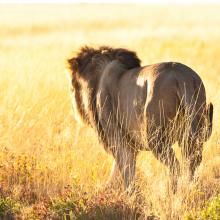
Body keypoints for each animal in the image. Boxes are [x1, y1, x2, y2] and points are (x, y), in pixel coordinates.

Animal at [67, 45, 213, 190]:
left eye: (72, 87)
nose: (73, 109)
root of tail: (181, 77)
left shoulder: (118, 139)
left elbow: (127, 171)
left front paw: (128, 193)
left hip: (155, 137)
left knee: (175, 167)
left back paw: (171, 192)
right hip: (192, 134)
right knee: (192, 166)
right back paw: (191, 190)